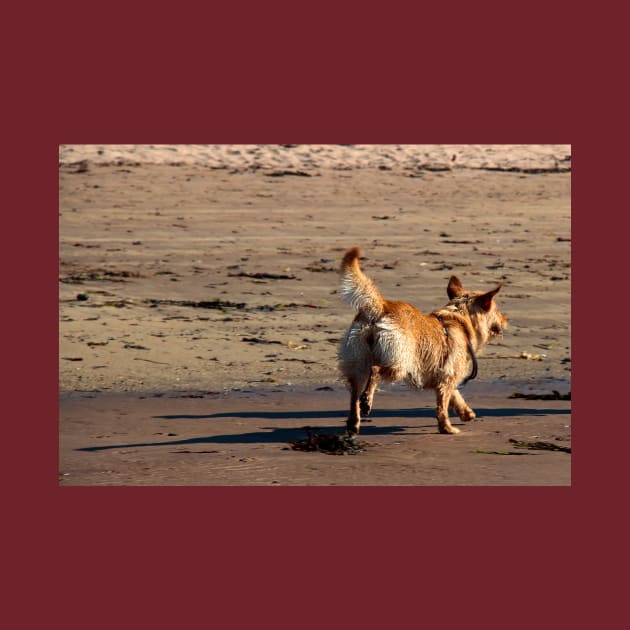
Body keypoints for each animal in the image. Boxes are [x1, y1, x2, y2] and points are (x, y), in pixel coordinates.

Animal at [340, 249, 508, 436]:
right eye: (496, 310)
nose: (505, 319)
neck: (460, 319)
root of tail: (381, 306)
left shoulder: (445, 374)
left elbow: (455, 395)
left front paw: (466, 412)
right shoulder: (448, 376)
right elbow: (443, 406)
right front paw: (446, 427)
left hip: (358, 362)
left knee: (354, 393)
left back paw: (353, 422)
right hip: (399, 362)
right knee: (375, 370)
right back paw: (367, 400)